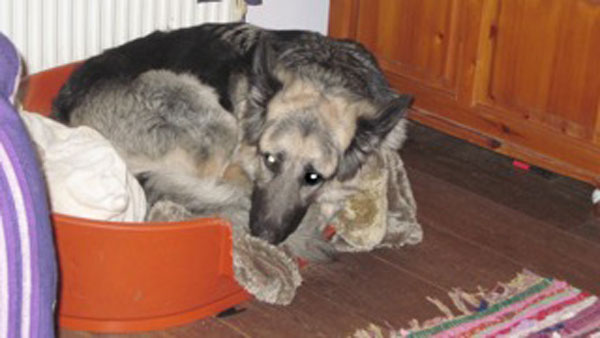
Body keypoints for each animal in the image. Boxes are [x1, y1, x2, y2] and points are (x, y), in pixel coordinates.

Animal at [54, 23, 412, 246]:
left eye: (313, 177)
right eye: (270, 160)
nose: (263, 236)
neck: (328, 75)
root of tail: (65, 110)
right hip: (213, 122)